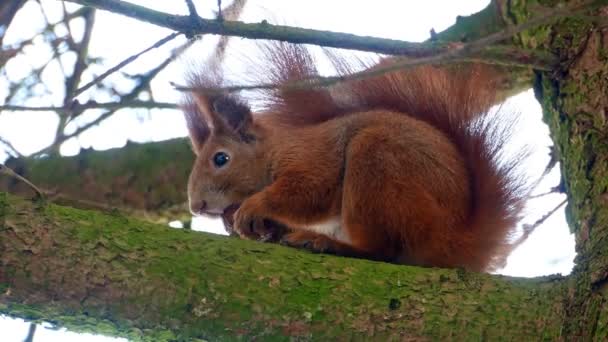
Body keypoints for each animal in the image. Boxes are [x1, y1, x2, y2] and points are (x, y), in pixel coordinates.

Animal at [180, 43, 528, 272]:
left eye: (220, 159)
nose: (196, 207)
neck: (273, 151)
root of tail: (459, 240)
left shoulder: (311, 157)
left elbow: (308, 191)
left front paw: (252, 207)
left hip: (377, 161)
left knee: (382, 249)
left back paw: (330, 245)